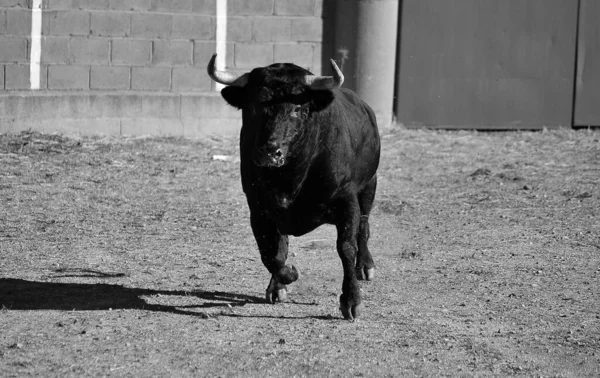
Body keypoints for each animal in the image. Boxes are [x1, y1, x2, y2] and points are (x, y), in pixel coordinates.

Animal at [209, 54, 382, 320]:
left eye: (297, 109)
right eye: (253, 105)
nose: (270, 151)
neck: (291, 178)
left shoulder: (347, 200)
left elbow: (346, 246)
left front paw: (351, 300)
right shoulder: (258, 210)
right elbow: (271, 252)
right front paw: (285, 278)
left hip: (369, 186)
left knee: (364, 226)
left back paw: (365, 266)